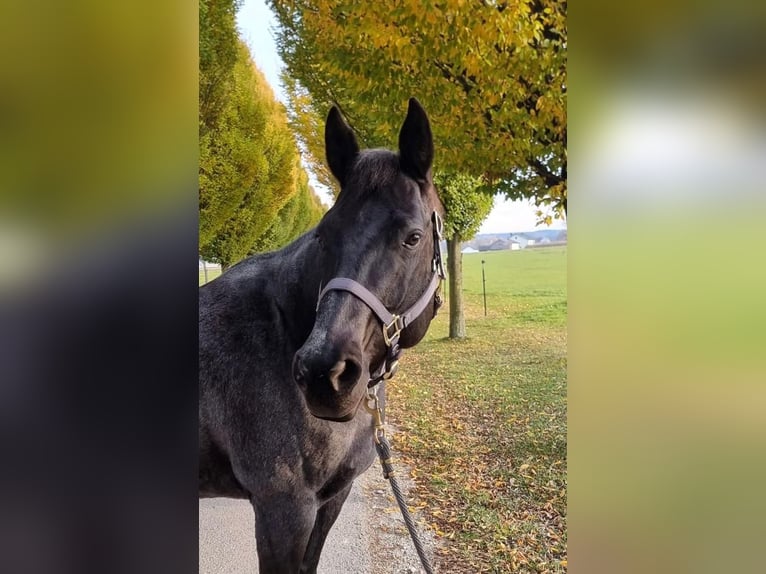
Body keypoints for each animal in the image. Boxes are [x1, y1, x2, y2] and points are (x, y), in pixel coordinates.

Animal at [199, 98, 445, 573]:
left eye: (413, 237)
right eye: (323, 235)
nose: (323, 374)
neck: (281, 328)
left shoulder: (332, 500)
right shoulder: (283, 511)